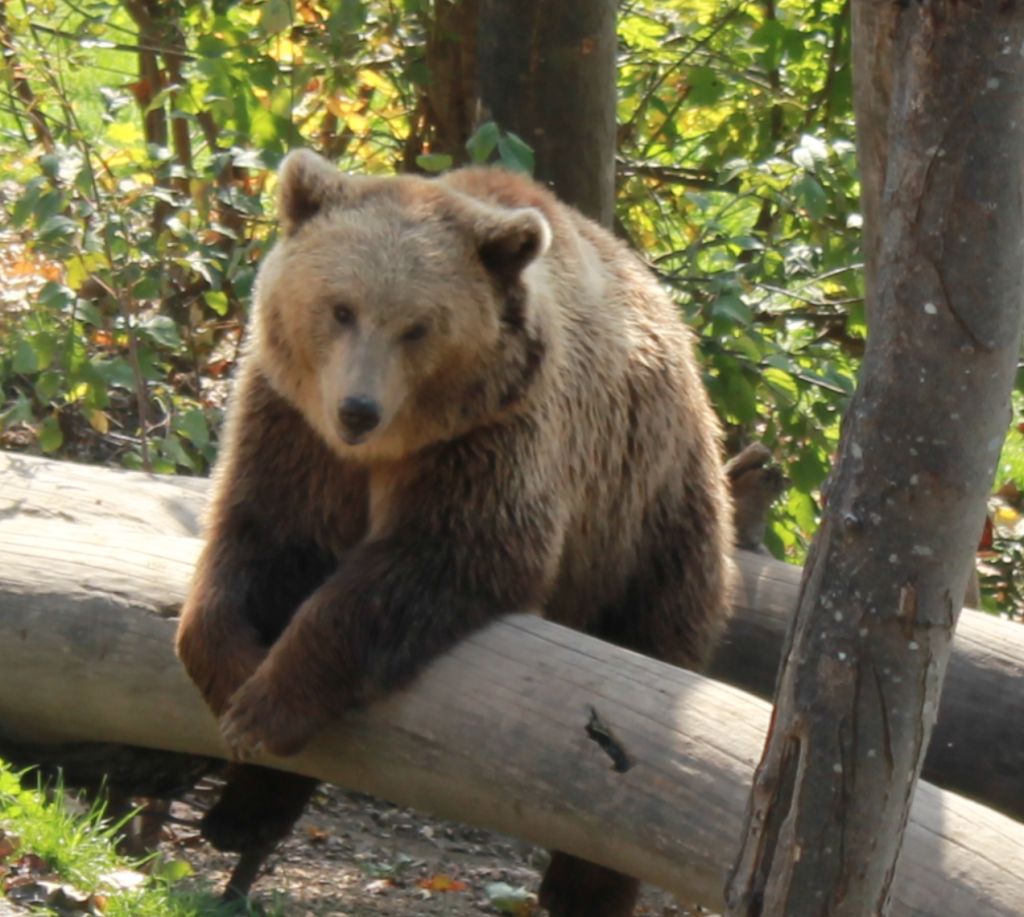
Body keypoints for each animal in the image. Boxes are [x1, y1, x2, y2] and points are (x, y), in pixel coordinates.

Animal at [178, 150, 737, 917]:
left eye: (418, 326)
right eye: (340, 307)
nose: (358, 409)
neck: (382, 453)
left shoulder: (489, 441)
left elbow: (438, 560)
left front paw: (266, 706)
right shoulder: (294, 429)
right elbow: (260, 537)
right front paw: (231, 673)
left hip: (648, 515)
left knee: (652, 659)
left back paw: (583, 886)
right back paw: (242, 816)